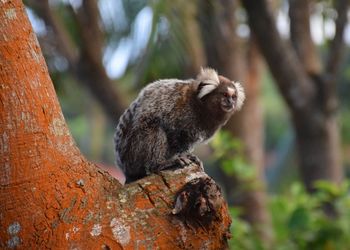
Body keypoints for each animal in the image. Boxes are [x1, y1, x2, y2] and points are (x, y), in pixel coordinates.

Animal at [113, 67, 245, 183]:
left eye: (234, 97)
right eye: (225, 95)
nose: (231, 102)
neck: (201, 107)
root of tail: (126, 170)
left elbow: (187, 142)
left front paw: (189, 156)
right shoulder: (177, 106)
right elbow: (172, 131)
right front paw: (179, 157)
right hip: (133, 152)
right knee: (154, 127)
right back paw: (159, 164)